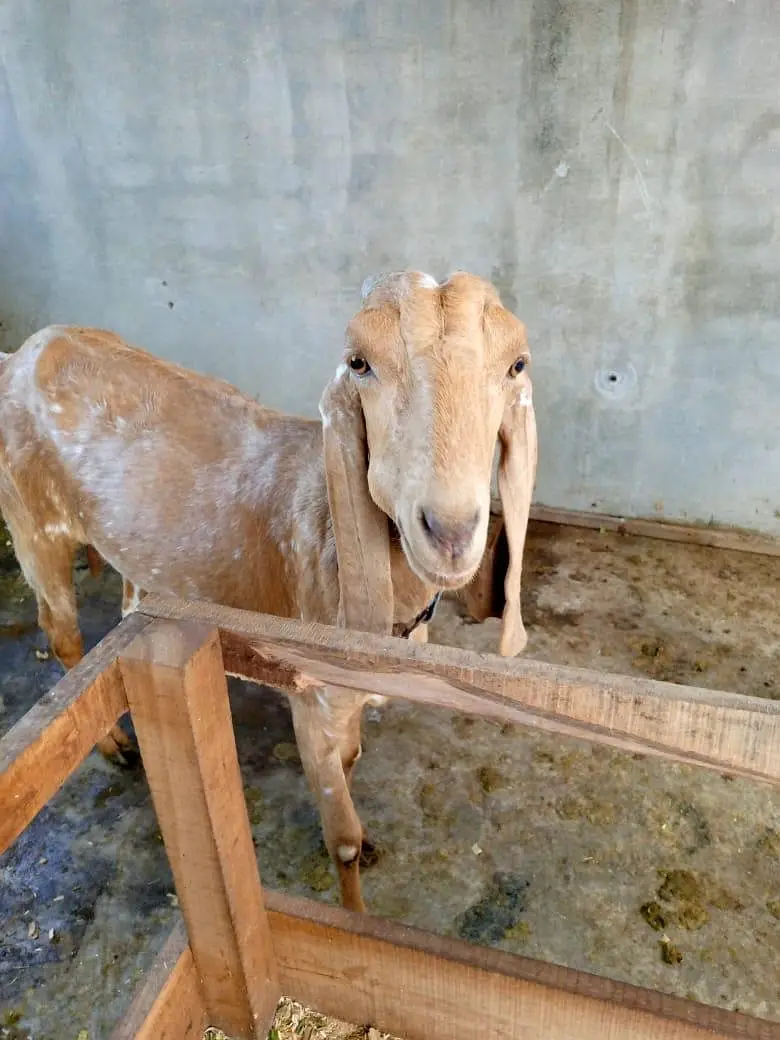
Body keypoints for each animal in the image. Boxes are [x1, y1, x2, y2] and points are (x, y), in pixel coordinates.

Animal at [0, 270, 537, 911]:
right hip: (34, 526)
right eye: (359, 363)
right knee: (59, 634)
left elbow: (351, 761)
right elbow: (342, 842)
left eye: (516, 365)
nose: (450, 532)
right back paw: (114, 746)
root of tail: (19, 356)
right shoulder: (310, 698)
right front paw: (353, 914)